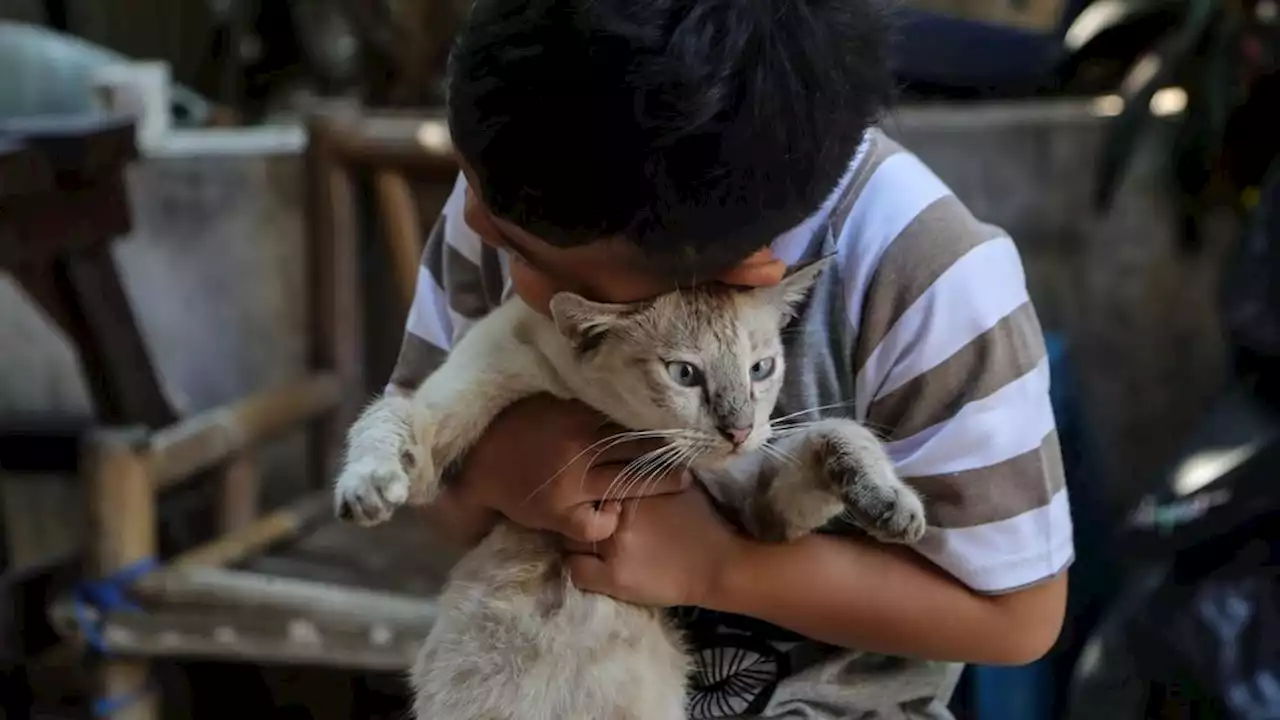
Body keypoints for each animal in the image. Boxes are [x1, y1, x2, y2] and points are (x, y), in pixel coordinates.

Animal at [335, 256, 926, 717]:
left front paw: (891, 504)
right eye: (684, 374)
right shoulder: (437, 425)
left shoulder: (758, 510)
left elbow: (836, 433)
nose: (739, 431)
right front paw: (367, 486)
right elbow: (384, 417)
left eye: (761, 369)